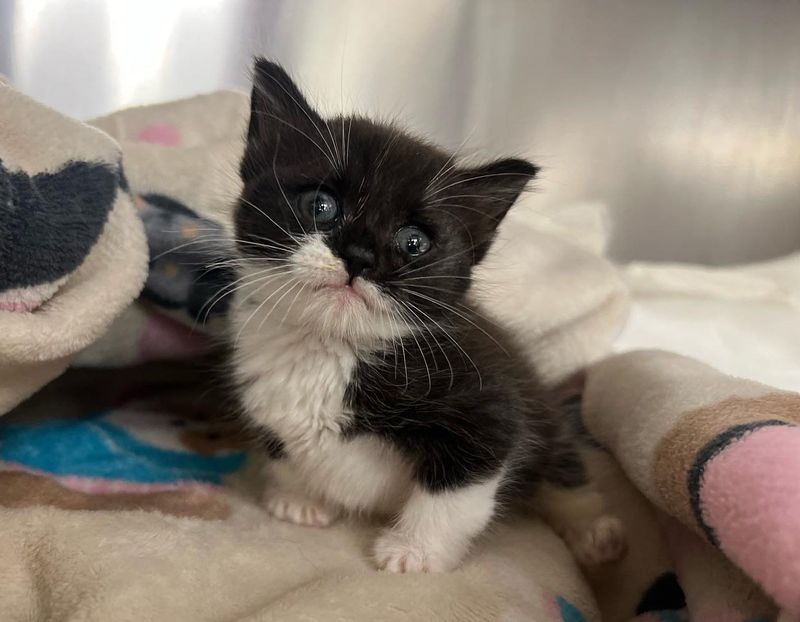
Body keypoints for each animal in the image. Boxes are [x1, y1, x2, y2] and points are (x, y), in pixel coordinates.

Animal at [231, 59, 624, 576]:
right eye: (321, 206)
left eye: (413, 241)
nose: (359, 257)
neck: (332, 345)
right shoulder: (265, 398)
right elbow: (283, 451)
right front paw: (298, 500)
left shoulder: (489, 409)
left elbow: (454, 494)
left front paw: (413, 552)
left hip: (544, 412)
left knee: (563, 470)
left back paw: (595, 534)